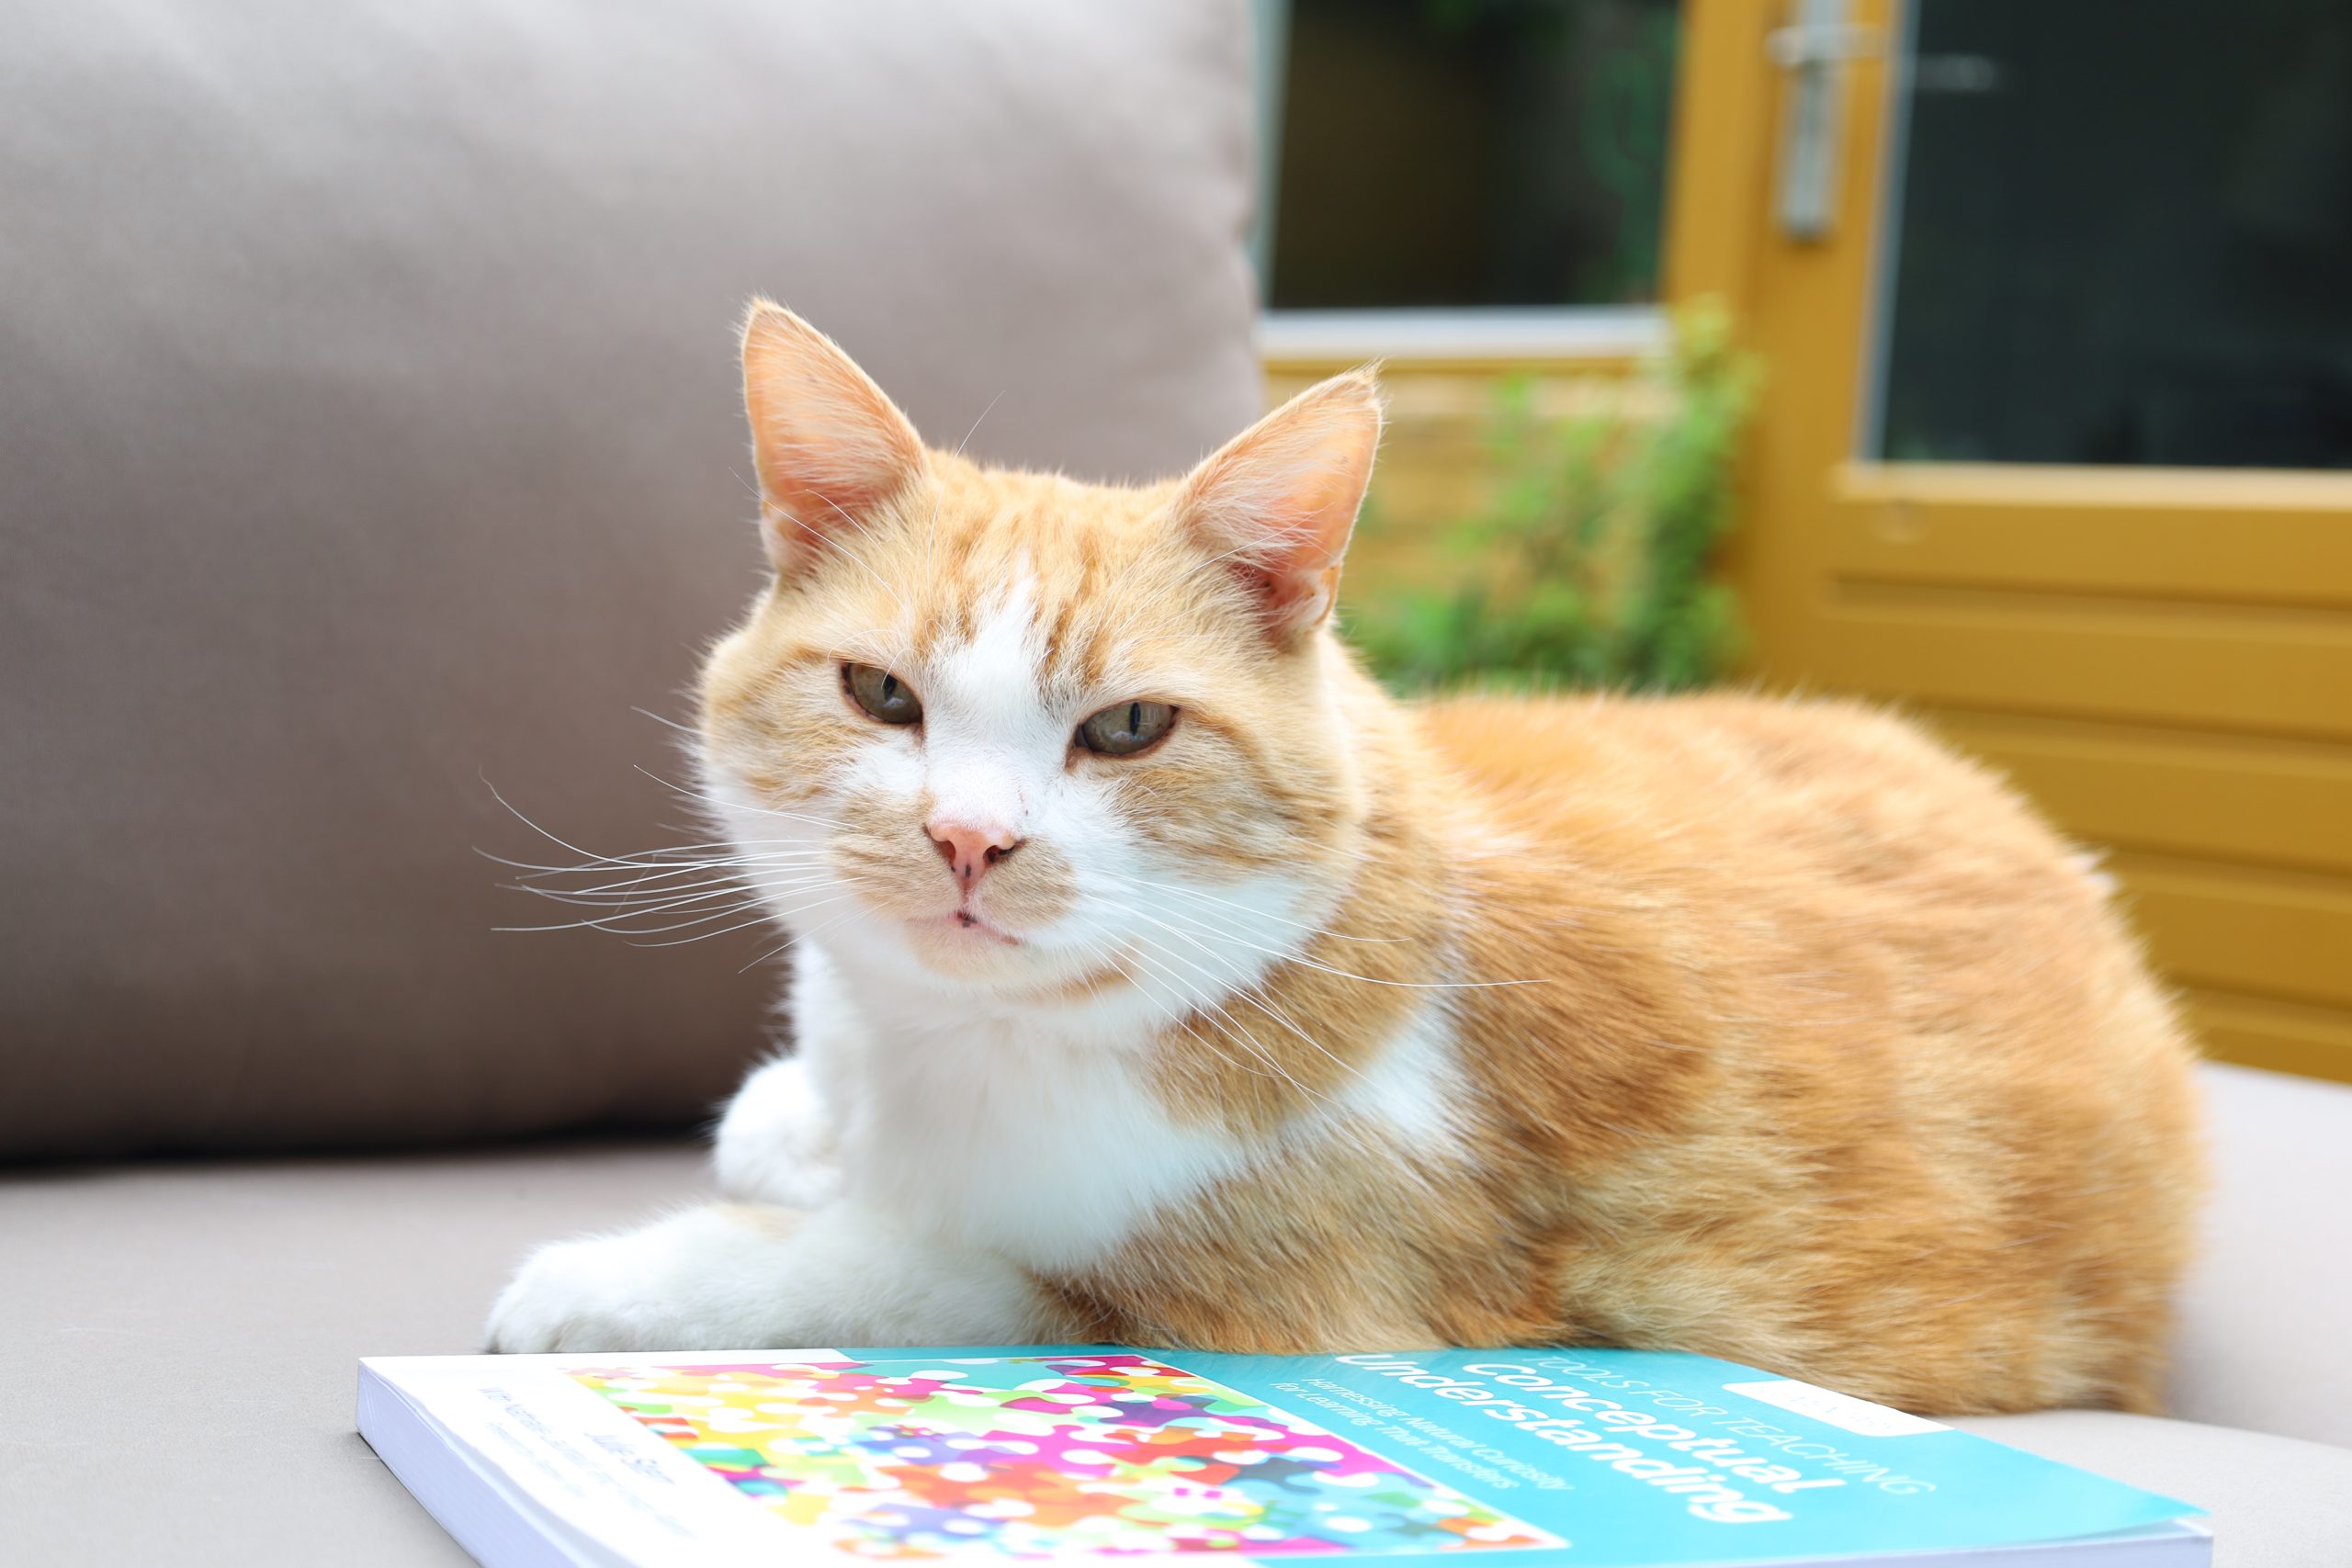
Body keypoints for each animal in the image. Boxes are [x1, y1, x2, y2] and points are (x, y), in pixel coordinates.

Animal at [492, 305, 2201, 1419]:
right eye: (880, 694)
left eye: (1127, 727)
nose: (969, 838)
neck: (950, 1048)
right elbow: (782, 1124)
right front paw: (801, 1124)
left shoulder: (1265, 1300)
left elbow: (890, 1261)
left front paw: (613, 1282)